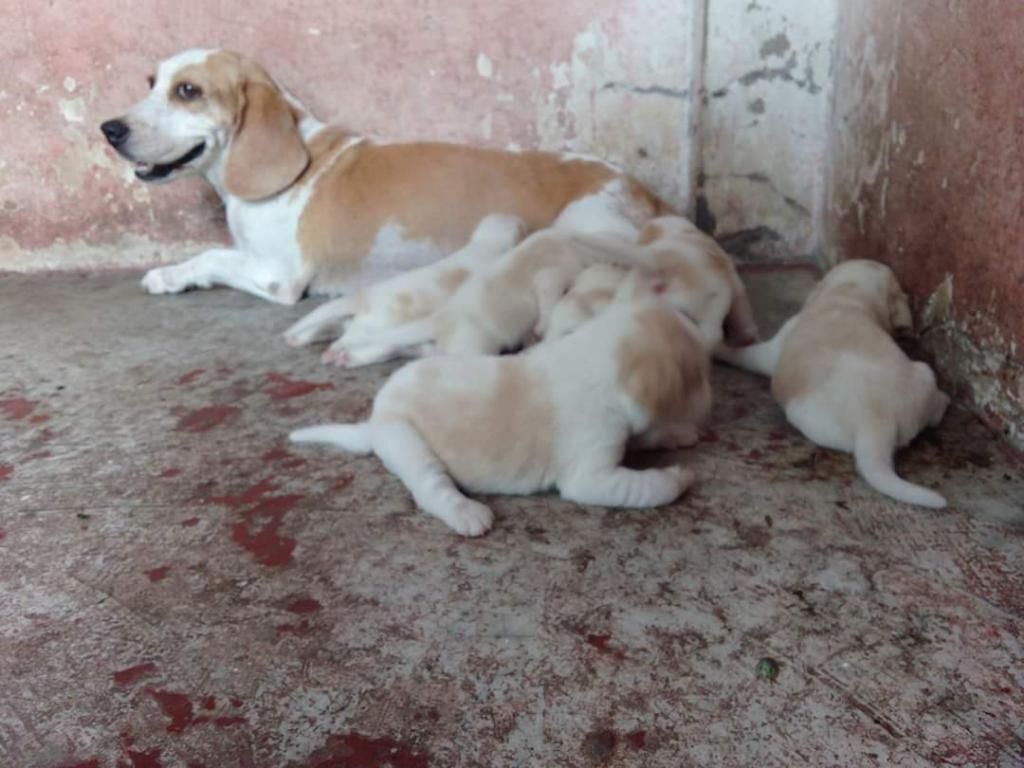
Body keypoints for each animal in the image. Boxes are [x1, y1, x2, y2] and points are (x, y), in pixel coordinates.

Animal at [101, 46, 663, 307]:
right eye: (151, 82)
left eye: (188, 91)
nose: (109, 129)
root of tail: (648, 197)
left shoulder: (277, 274)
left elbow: (212, 255)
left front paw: (167, 275)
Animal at [716, 262, 946, 507]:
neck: (849, 297)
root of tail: (878, 422)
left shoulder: (773, 350)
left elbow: (743, 353)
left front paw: (719, 348)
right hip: (924, 372)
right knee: (934, 412)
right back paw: (944, 400)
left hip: (803, 413)